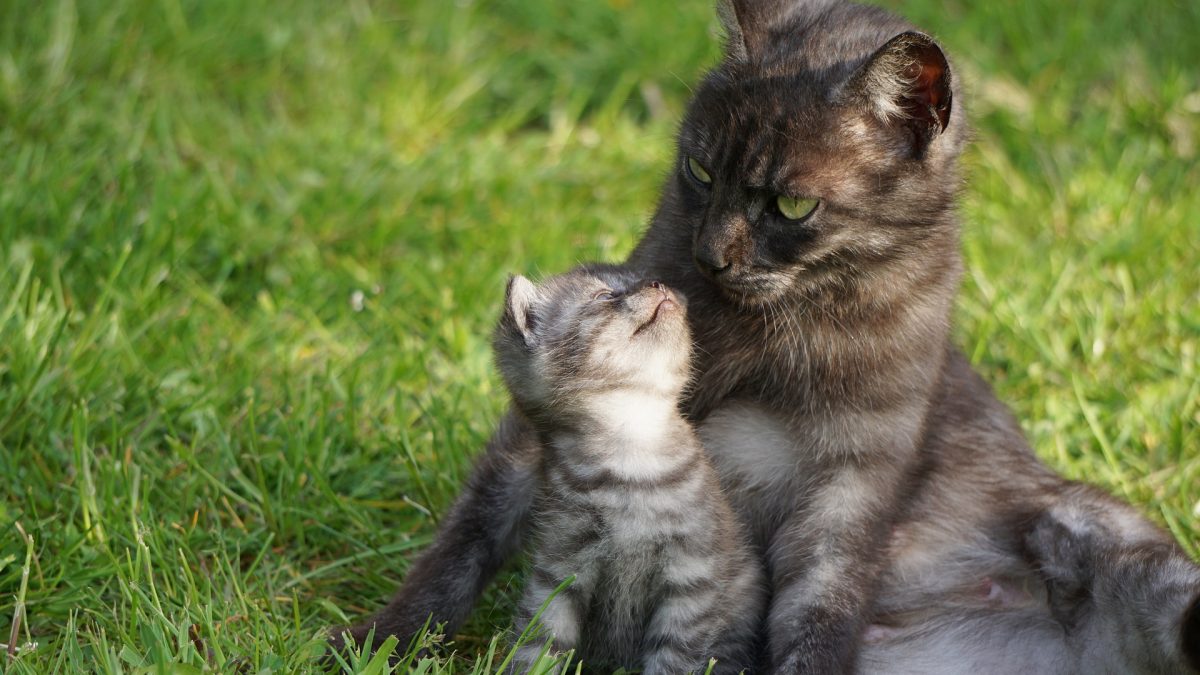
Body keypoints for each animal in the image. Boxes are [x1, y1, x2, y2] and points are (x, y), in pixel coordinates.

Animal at [492, 264, 763, 672]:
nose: (657, 283)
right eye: (604, 296)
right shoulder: (557, 571)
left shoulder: (691, 580)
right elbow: (538, 644)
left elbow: (671, 658)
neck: (632, 453)